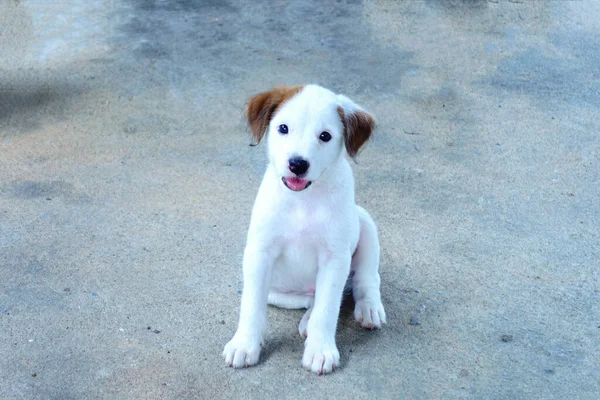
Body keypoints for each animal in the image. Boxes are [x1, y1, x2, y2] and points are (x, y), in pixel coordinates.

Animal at [223, 84, 386, 376]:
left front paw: (321, 350)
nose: (297, 164)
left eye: (325, 136)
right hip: (278, 292)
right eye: (283, 128)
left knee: (363, 279)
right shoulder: (259, 254)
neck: (303, 200)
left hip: (364, 223)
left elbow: (327, 309)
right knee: (313, 299)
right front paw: (244, 344)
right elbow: (251, 306)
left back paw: (368, 308)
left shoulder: (335, 259)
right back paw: (307, 320)